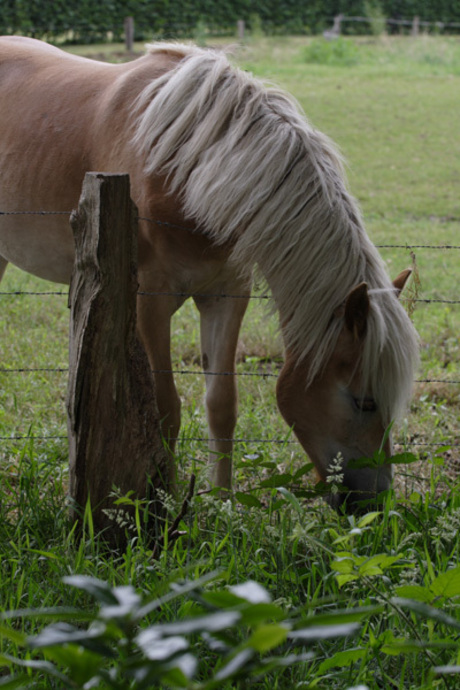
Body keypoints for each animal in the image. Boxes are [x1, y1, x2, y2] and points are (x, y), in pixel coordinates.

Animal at [0, 37, 419, 506]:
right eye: (364, 401)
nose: (376, 499)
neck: (186, 166)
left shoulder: (226, 295)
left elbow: (222, 404)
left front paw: (223, 501)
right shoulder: (149, 303)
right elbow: (165, 409)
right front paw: (162, 501)